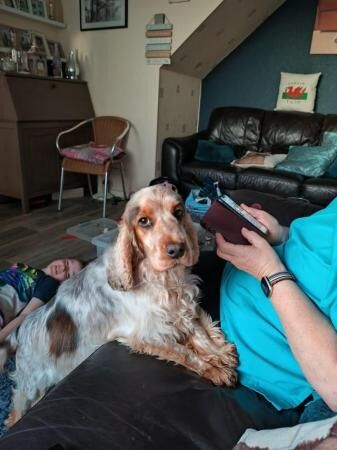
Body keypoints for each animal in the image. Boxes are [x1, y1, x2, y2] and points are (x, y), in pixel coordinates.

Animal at [3, 182, 235, 426]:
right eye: (144, 221)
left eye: (178, 212)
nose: (177, 250)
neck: (161, 278)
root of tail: (20, 331)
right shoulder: (147, 335)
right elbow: (184, 352)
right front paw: (215, 369)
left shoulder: (182, 308)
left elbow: (199, 332)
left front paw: (219, 352)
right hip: (31, 387)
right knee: (16, 411)